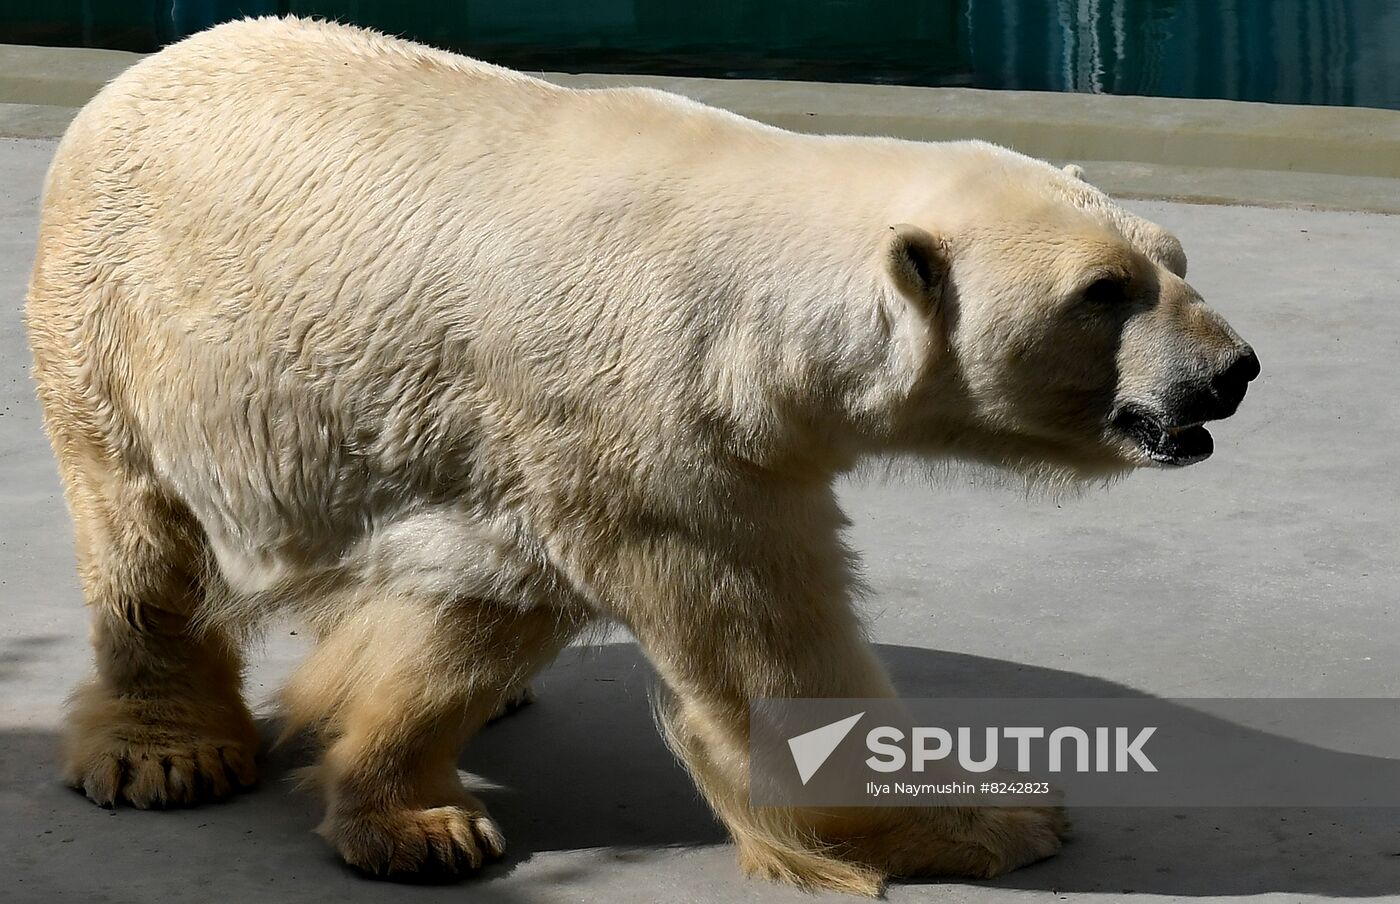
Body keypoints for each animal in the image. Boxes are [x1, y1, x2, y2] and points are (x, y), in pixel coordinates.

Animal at [25, 16, 1257, 896]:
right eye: (1101, 291)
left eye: (1172, 256)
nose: (1231, 370)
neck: (754, 306)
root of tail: (136, 76)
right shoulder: (659, 431)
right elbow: (765, 645)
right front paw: (995, 818)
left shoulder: (545, 442)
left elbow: (478, 607)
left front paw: (404, 805)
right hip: (118, 325)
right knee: (143, 539)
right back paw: (164, 751)